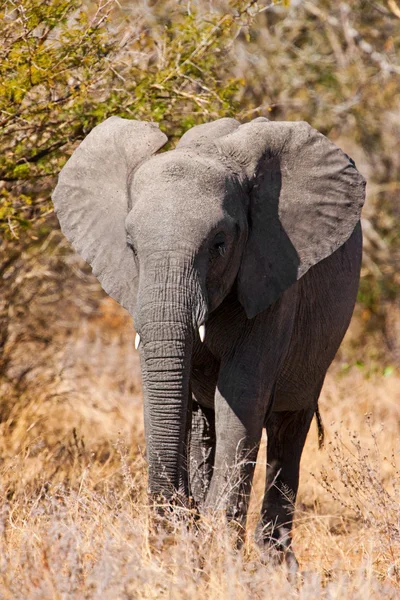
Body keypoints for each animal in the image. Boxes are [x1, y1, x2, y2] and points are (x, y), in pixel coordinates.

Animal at [53, 116, 366, 568]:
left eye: (219, 244)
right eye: (131, 247)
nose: (175, 520)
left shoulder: (273, 274)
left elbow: (241, 396)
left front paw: (220, 556)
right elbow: (177, 398)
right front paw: (186, 551)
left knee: (288, 428)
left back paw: (276, 565)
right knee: (207, 424)